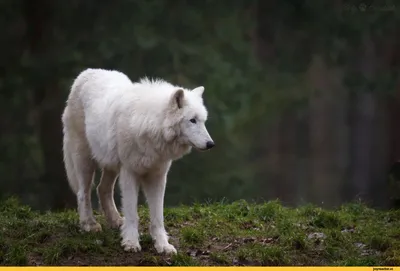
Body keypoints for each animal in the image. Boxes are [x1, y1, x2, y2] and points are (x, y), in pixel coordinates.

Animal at [61, 68, 214, 255]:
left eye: (203, 121)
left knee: (102, 189)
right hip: (85, 160)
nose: (211, 144)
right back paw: (89, 225)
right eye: (192, 120)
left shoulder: (158, 176)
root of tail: (86, 73)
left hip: (111, 165)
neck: (151, 125)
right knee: (83, 192)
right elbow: (132, 213)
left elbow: (158, 216)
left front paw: (163, 245)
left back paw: (116, 221)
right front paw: (131, 242)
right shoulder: (130, 173)